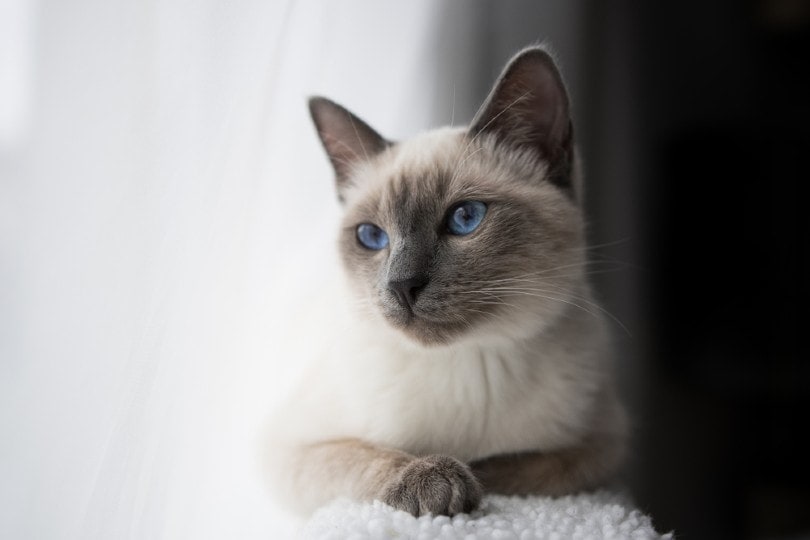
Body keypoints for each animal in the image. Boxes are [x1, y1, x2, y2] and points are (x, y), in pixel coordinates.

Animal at [266, 47, 624, 520]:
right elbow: (368, 457)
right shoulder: (293, 448)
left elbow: (515, 466)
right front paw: (436, 481)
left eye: (465, 218)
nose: (402, 285)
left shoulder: (601, 446)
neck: (468, 362)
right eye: (372, 236)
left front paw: (470, 478)